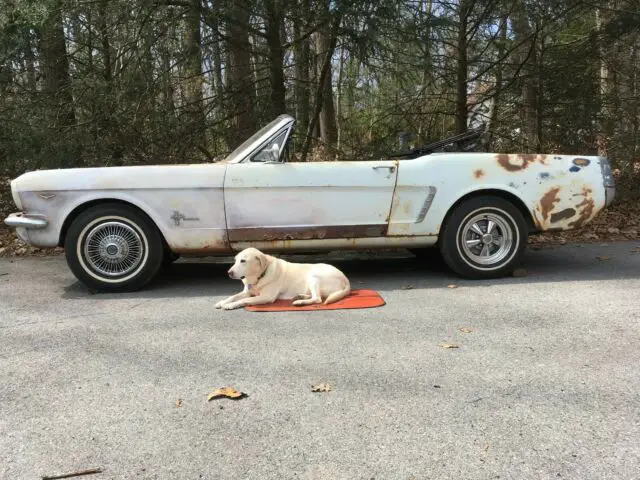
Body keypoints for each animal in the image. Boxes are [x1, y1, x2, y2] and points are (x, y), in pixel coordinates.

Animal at [218, 248, 352, 312]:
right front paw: (222, 301)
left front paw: (230, 305)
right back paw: (300, 296)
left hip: (314, 277)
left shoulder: (266, 297)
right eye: (235, 260)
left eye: (243, 261)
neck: (259, 276)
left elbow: (245, 300)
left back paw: (300, 302)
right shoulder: (247, 292)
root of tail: (345, 279)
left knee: (318, 299)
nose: (229, 273)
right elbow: (233, 296)